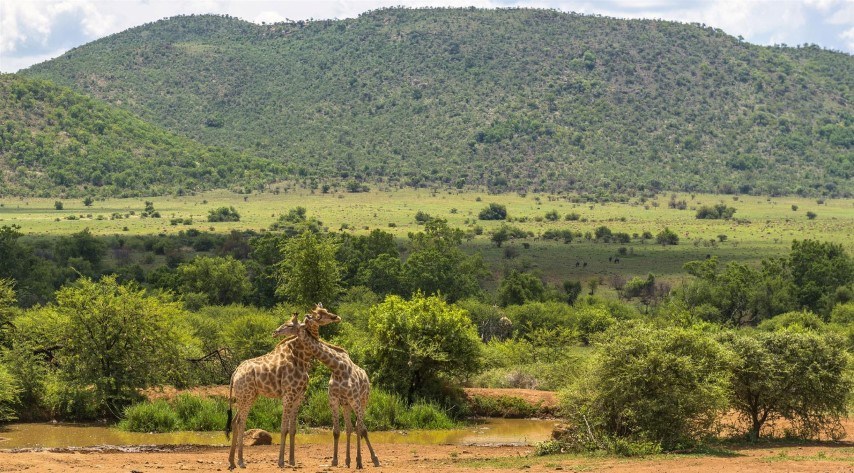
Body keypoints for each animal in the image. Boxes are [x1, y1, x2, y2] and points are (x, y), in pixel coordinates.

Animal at [224, 314, 310, 468]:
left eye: (289, 325)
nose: (275, 332)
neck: (301, 360)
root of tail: (235, 372)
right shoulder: (288, 394)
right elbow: (284, 428)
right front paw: (281, 462)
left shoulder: (299, 396)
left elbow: (293, 429)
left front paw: (292, 461)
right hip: (246, 395)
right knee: (241, 422)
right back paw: (241, 461)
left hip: (248, 396)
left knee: (234, 421)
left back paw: (232, 462)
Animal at [300, 308, 382, 466]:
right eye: (318, 316)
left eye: (324, 311)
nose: (336, 317)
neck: (337, 368)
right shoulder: (334, 400)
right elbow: (336, 431)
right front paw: (335, 460)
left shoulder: (355, 400)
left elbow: (360, 428)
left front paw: (362, 461)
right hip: (346, 404)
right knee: (350, 427)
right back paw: (348, 460)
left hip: (363, 401)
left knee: (360, 427)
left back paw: (368, 459)